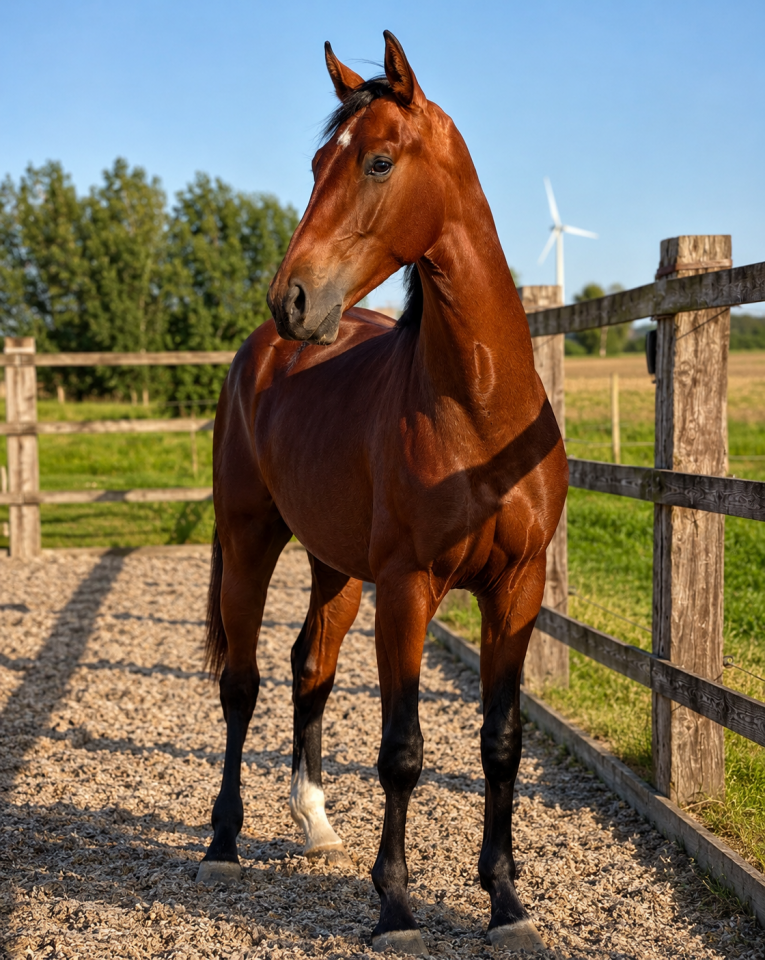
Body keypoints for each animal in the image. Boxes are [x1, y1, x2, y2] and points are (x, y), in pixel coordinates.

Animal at [198, 31, 568, 955]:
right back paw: (222, 844)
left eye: (376, 160)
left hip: (334, 565)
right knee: (243, 684)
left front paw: (504, 901)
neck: (476, 407)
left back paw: (315, 824)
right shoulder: (407, 589)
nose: (293, 298)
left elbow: (500, 742)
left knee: (310, 667)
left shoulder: (517, 590)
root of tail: (260, 352)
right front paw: (396, 908)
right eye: (314, 162)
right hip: (251, 541)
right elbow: (402, 749)